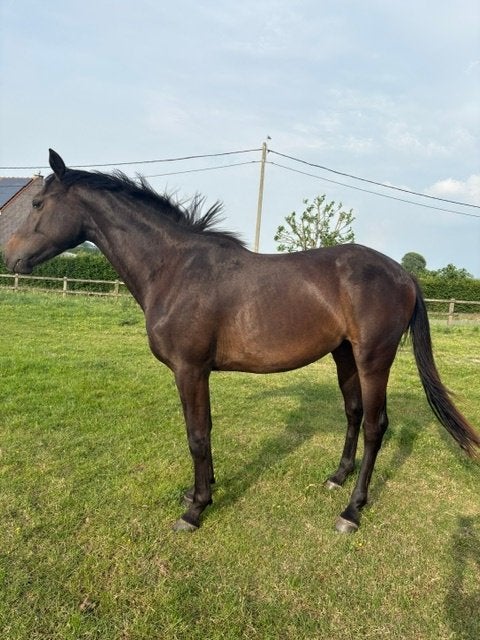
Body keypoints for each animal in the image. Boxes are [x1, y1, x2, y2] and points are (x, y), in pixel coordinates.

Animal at [4, 149, 479, 534]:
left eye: (37, 203)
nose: (10, 257)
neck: (175, 268)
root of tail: (403, 273)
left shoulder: (190, 370)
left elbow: (197, 434)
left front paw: (195, 509)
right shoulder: (195, 373)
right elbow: (202, 430)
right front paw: (201, 490)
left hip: (373, 359)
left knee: (376, 427)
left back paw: (351, 511)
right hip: (344, 355)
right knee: (354, 413)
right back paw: (336, 478)